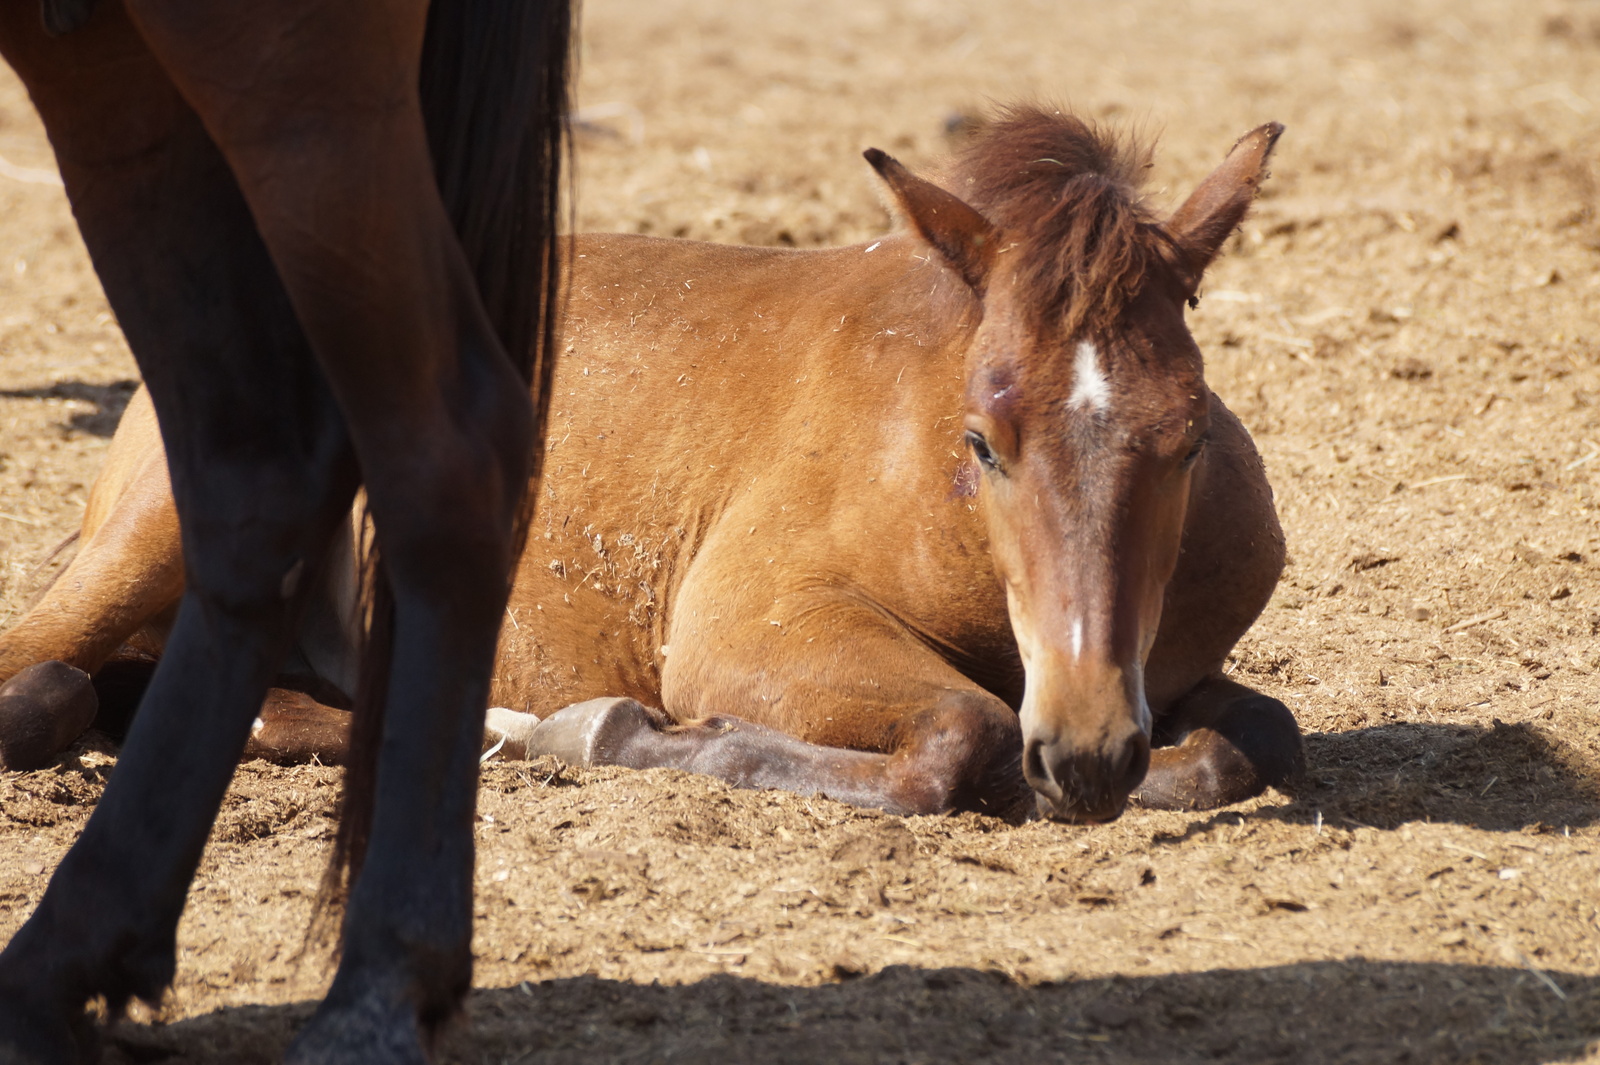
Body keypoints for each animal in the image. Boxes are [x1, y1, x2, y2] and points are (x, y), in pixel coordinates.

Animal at [0, 107, 1299, 818]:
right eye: (983, 442)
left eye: (1186, 435)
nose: (1087, 749)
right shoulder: (751, 628)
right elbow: (961, 735)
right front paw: (619, 732)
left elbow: (1249, 739)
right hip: (158, 539)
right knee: (41, 665)